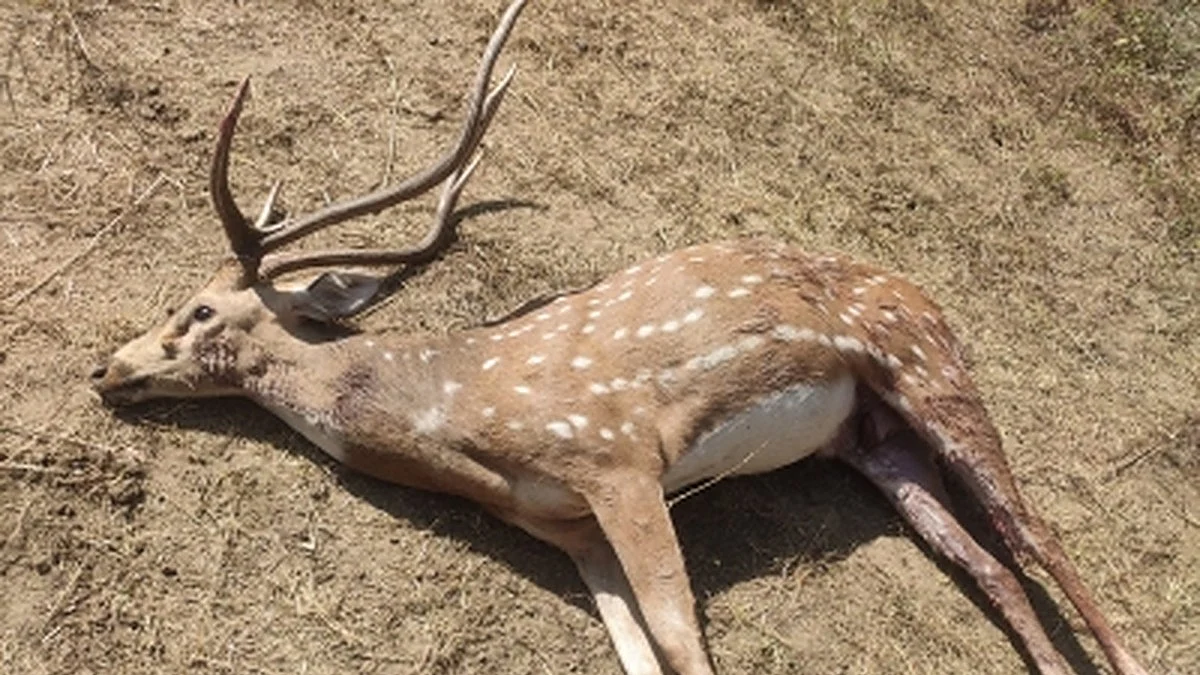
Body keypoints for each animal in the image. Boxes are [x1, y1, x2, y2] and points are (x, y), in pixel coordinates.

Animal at [88, 1, 1151, 674]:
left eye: (198, 309)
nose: (105, 366)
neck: (463, 421)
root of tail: (918, 287)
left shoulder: (619, 455)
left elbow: (683, 646)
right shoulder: (563, 525)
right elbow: (639, 653)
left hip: (929, 365)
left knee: (1036, 533)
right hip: (875, 445)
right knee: (990, 564)